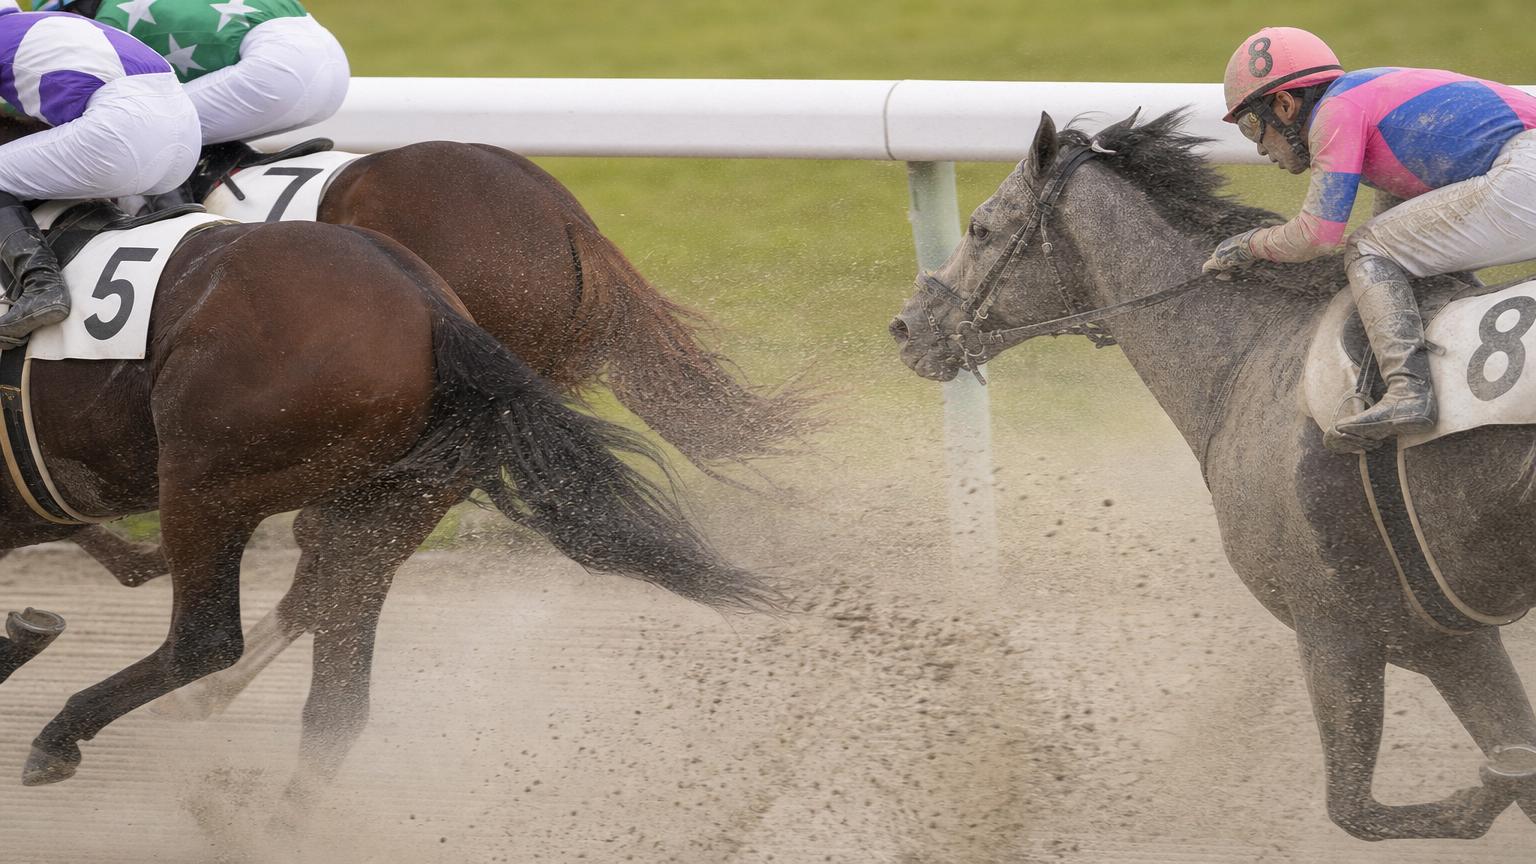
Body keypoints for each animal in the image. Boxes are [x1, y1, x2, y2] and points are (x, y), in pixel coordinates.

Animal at [890, 109, 1536, 840]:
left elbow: (1356, 808)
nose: (907, 327)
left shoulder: (1340, 628)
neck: (1250, 357)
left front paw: (1485, 791)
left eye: (981, 228)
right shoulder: (1449, 635)